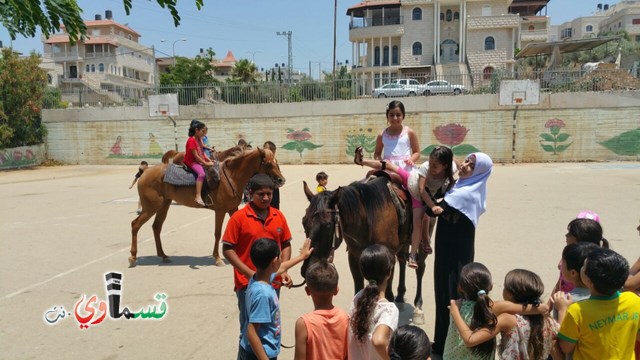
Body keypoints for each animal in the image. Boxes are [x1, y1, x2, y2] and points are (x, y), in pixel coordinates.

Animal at [130, 146, 284, 268]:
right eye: (268, 163)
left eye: (276, 162)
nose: (281, 180)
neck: (231, 177)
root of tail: (145, 172)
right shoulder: (220, 211)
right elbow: (217, 233)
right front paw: (217, 258)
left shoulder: (232, 209)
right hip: (151, 208)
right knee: (135, 225)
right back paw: (132, 257)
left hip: (163, 205)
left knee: (156, 227)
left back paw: (163, 255)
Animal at [302, 176, 430, 324]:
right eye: (303, 221)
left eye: (328, 225)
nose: (307, 268)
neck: (366, 218)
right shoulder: (354, 256)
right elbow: (358, 288)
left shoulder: (388, 257)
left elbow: (387, 294)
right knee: (402, 260)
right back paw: (400, 295)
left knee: (420, 268)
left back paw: (418, 307)